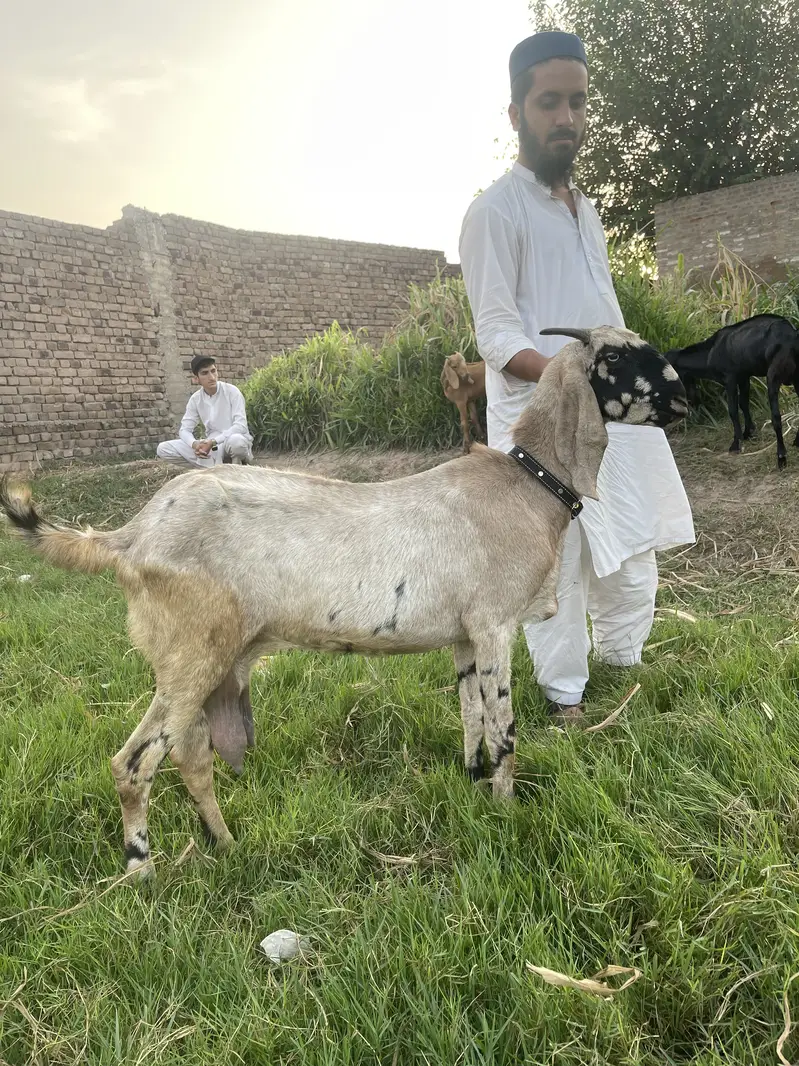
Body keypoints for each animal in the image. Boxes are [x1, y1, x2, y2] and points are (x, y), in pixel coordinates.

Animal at [0, 326, 688, 879]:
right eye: (618, 356)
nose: (683, 398)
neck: (527, 486)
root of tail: (129, 535)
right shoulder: (494, 625)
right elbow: (504, 730)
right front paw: (506, 811)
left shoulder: (465, 635)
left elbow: (471, 720)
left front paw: (474, 792)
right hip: (190, 655)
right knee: (133, 763)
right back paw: (142, 874)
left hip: (205, 663)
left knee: (192, 759)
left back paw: (226, 847)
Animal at [666, 314, 799, 469]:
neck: (710, 352)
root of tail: (793, 336)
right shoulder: (744, 377)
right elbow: (744, 403)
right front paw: (748, 432)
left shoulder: (730, 378)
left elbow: (733, 410)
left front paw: (736, 444)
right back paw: (796, 441)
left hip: (774, 375)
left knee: (776, 416)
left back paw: (781, 457)